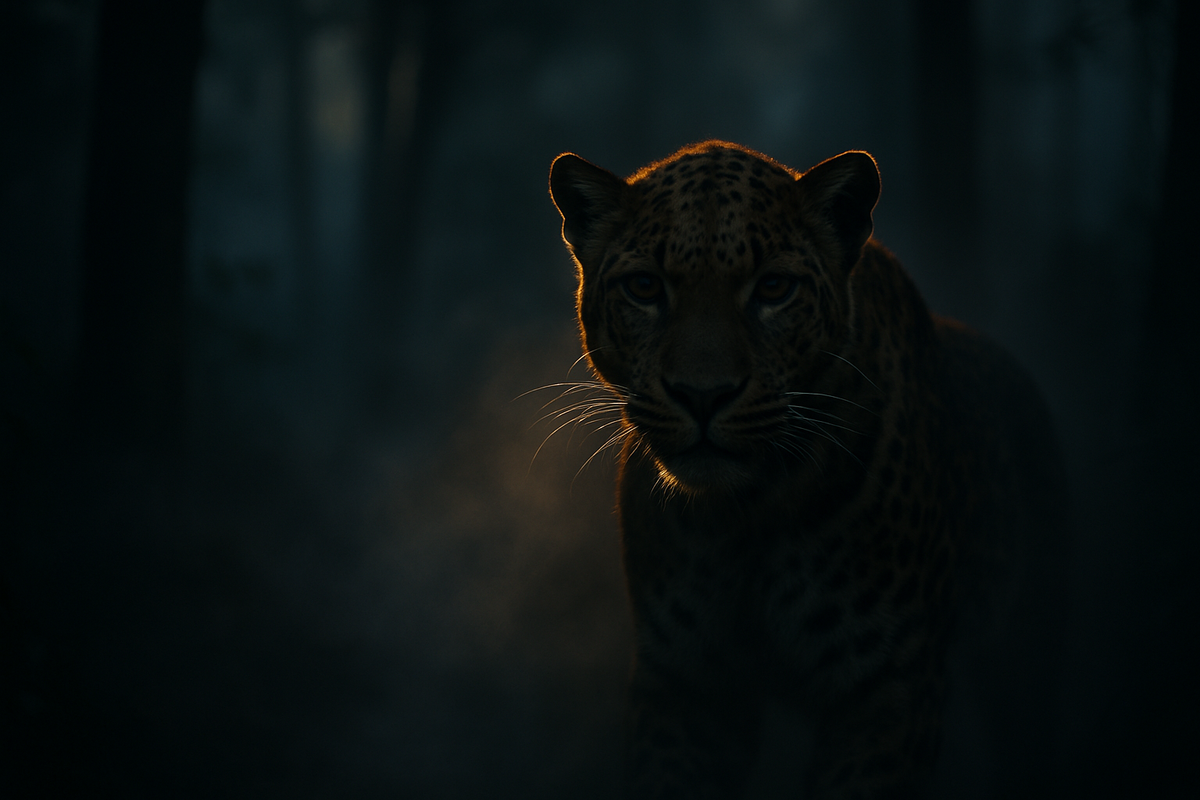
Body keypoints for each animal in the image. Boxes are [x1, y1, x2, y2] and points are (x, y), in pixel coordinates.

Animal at [547, 140, 1068, 799]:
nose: (702, 394)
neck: (746, 512)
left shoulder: (891, 691)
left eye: (774, 288)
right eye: (644, 287)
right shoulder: (686, 684)